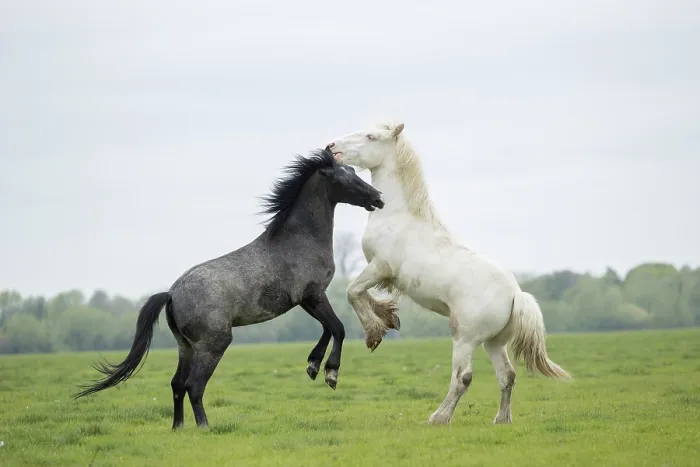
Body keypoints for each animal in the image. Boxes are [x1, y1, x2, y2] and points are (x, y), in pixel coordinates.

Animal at [73, 146, 385, 430]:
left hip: (185, 347)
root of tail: (171, 294)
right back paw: (204, 428)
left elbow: (327, 329)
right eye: (344, 177)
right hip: (214, 344)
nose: (378, 198)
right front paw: (330, 374)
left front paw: (312, 365)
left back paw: (178, 428)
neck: (298, 240)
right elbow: (337, 328)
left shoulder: (307, 300)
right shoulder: (312, 295)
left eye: (353, 171)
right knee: (194, 386)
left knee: (177, 384)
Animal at [326, 122, 571, 425]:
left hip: (464, 338)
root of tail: (515, 294)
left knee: (463, 377)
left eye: (371, 137)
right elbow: (365, 295)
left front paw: (374, 334)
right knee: (507, 375)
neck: (396, 215)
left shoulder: (380, 267)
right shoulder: (382, 275)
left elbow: (353, 292)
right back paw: (501, 419)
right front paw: (389, 317)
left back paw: (439, 417)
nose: (331, 148)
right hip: (493, 343)